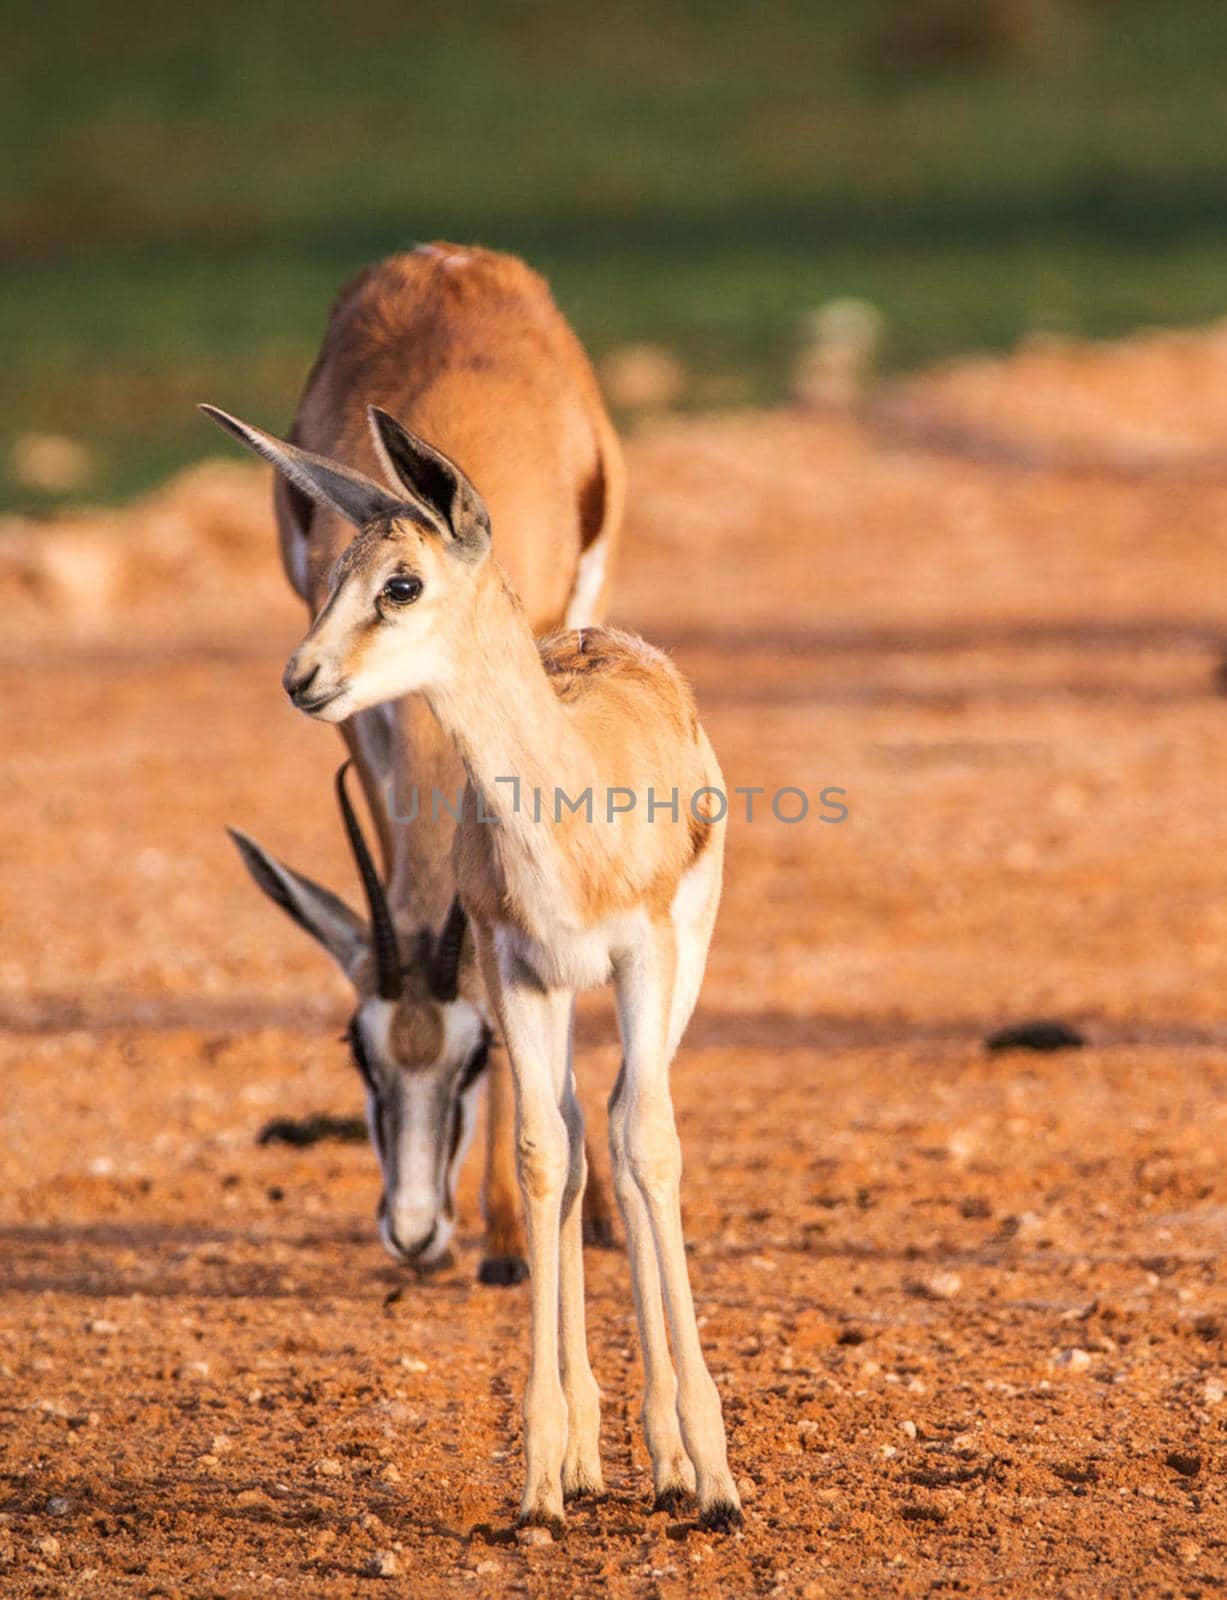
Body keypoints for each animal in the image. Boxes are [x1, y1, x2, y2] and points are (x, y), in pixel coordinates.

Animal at [203, 403, 739, 1536]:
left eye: (400, 583)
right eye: (336, 574)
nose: (302, 677)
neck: (576, 799)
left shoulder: (644, 955)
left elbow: (650, 1146)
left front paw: (712, 1475)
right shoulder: (517, 971)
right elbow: (542, 1156)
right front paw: (542, 1479)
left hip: (673, 974)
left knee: (627, 1133)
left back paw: (675, 1464)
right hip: (556, 992)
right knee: (579, 1138)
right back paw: (590, 1459)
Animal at [219, 243, 620, 1280]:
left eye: (477, 1056)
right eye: (358, 1052)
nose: (412, 1230)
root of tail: (448, 260)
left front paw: (519, 1237)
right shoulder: (360, 725)